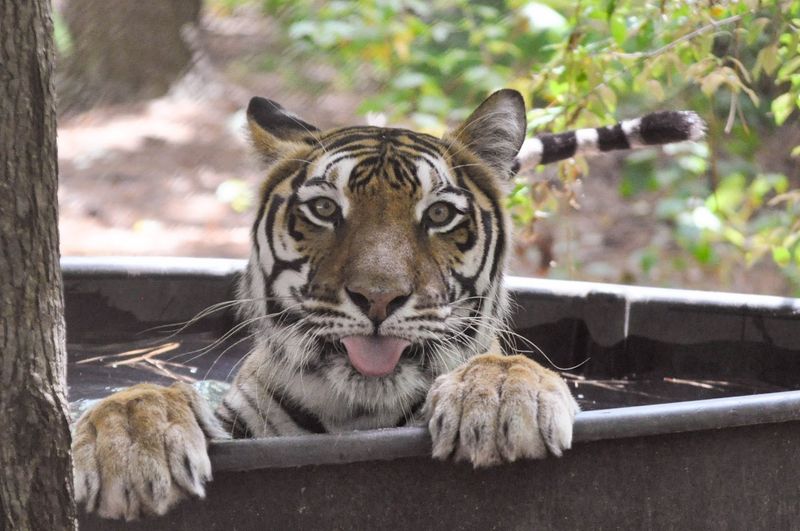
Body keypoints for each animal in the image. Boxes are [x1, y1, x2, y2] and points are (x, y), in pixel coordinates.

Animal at [71, 89, 705, 520]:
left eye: (440, 214)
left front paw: (502, 400)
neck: (358, 413)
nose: (378, 297)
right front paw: (132, 438)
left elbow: (501, 366)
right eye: (325, 209)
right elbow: (149, 396)